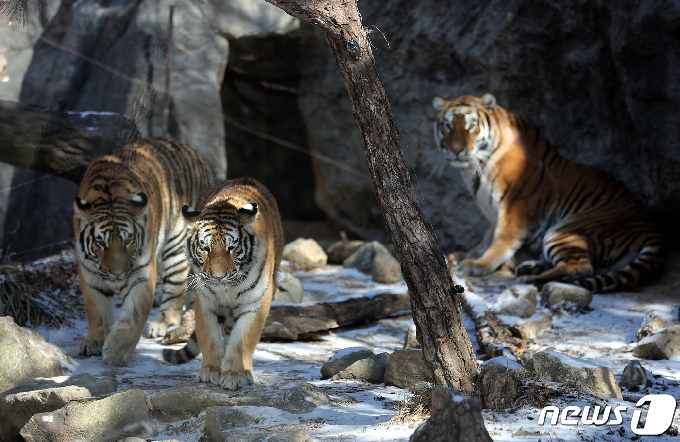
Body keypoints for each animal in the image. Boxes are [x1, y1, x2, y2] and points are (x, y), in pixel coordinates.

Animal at [72, 138, 211, 366]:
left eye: (128, 240)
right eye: (100, 243)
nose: (117, 274)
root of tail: (194, 152)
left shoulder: (142, 273)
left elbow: (135, 313)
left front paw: (116, 351)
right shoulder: (90, 273)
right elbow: (97, 311)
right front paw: (93, 342)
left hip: (176, 248)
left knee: (175, 292)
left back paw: (161, 325)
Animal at [163, 177, 284, 390]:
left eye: (232, 247)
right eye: (205, 248)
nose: (218, 277)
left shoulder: (255, 303)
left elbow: (243, 340)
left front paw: (235, 375)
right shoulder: (205, 301)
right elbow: (209, 337)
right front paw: (210, 371)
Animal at [430, 93, 664, 292]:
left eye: (471, 127)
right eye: (447, 126)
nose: (456, 150)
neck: (473, 169)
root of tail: (652, 230)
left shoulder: (515, 206)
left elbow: (500, 238)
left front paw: (479, 264)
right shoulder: (493, 213)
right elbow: (486, 237)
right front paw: (464, 255)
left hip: (564, 231)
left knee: (581, 267)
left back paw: (530, 278)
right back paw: (530, 266)